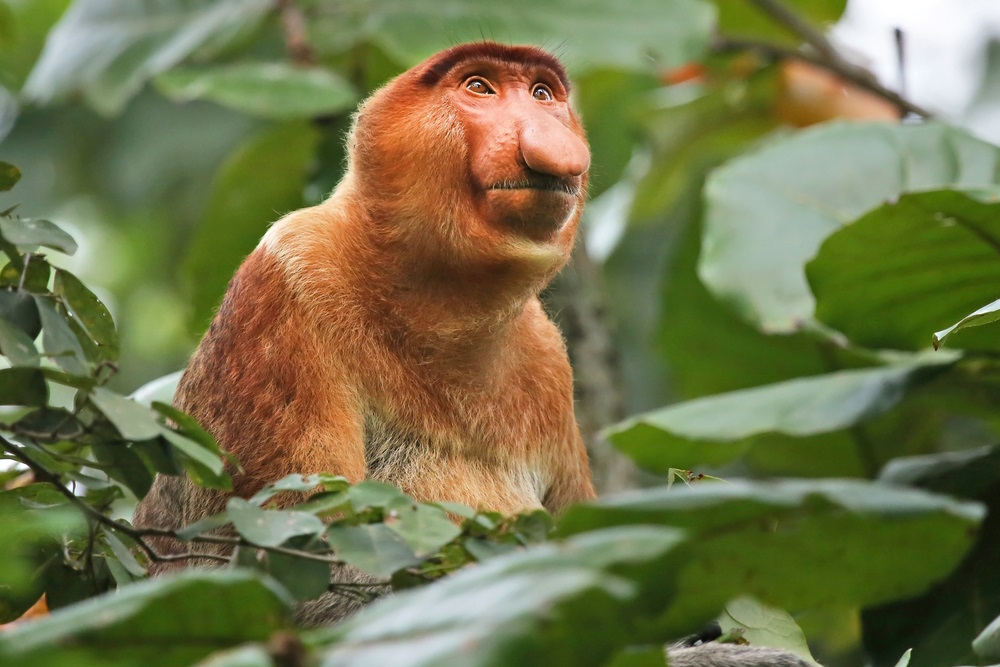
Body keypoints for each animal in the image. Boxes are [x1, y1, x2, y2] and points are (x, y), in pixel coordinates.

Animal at [134, 42, 812, 667]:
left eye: (541, 94)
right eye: (479, 87)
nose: (550, 140)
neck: (434, 312)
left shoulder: (546, 358)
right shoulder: (287, 285)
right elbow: (301, 573)